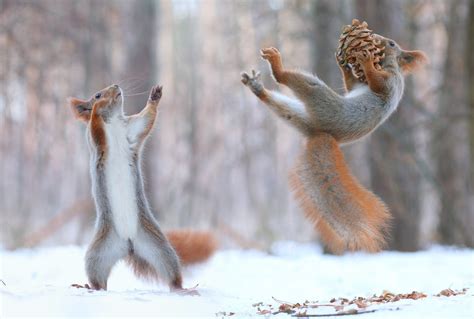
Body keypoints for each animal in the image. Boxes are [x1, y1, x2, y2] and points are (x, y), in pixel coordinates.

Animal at [68, 85, 217, 292]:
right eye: (97, 94)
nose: (116, 87)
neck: (113, 121)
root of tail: (128, 245)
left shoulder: (132, 130)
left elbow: (147, 119)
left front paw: (155, 96)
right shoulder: (95, 140)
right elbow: (95, 126)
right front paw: (98, 107)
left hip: (159, 248)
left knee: (171, 274)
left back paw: (183, 289)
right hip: (97, 254)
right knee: (98, 280)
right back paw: (88, 287)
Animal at [243, 35, 428, 254]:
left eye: (391, 44)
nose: (378, 39)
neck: (387, 65)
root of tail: (320, 133)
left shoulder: (390, 82)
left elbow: (377, 83)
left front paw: (365, 62)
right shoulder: (360, 85)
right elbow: (351, 85)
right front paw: (345, 66)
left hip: (321, 99)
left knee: (288, 80)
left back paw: (276, 65)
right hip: (297, 114)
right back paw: (257, 87)